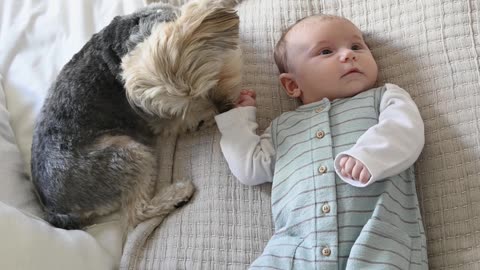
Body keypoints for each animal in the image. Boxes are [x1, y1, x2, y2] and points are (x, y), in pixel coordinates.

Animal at [29, 0, 244, 230]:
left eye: (214, 77)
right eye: (190, 101)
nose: (223, 110)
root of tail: (53, 209)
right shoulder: (160, 119)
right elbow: (181, 120)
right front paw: (204, 117)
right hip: (126, 154)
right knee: (135, 213)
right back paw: (179, 194)